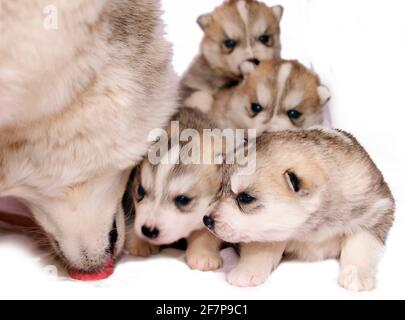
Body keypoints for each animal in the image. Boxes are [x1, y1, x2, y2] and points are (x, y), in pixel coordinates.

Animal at [125, 109, 223, 272]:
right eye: (140, 191)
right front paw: (139, 241)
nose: (148, 230)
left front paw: (203, 254)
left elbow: (205, 231)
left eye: (183, 200)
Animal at [204, 129, 392, 292]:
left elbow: (362, 244)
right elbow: (261, 247)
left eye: (245, 198)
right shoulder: (269, 231)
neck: (311, 228)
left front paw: (356, 275)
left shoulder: (375, 211)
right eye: (220, 188)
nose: (206, 220)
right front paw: (247, 271)